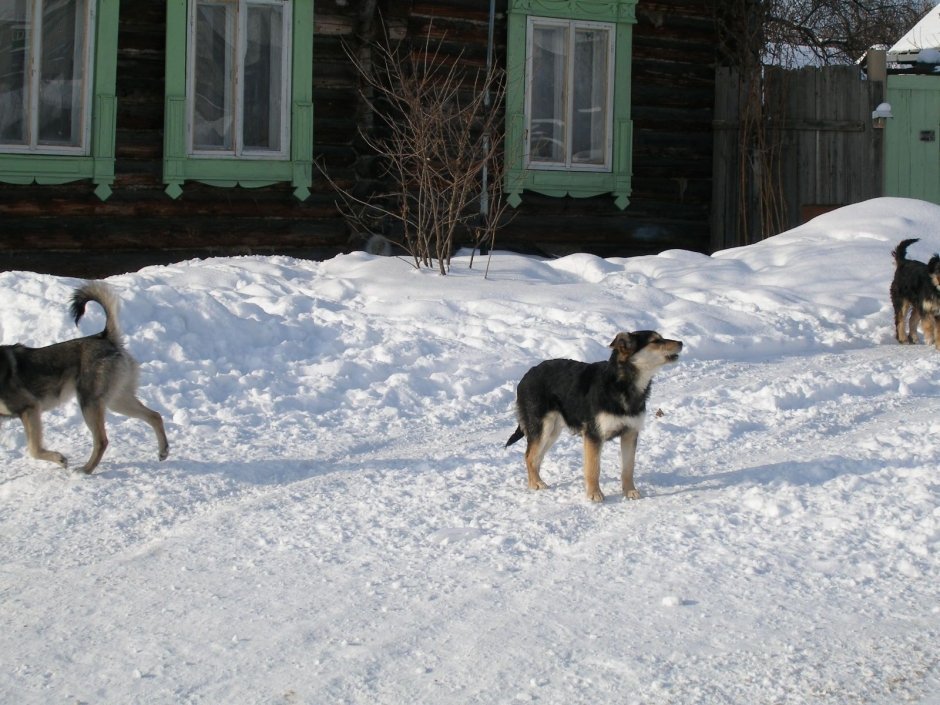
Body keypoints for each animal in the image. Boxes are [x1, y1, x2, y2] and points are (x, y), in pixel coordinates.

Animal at [0, 280, 169, 472]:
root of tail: (105, 337)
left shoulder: (30, 408)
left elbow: (34, 450)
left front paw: (60, 459)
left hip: (89, 402)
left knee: (102, 441)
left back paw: (85, 470)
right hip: (117, 400)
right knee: (155, 416)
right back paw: (163, 451)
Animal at [506, 330, 684, 500]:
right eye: (656, 341)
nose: (681, 342)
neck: (621, 383)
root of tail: (526, 376)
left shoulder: (630, 433)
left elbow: (628, 468)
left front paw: (629, 491)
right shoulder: (594, 435)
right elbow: (593, 469)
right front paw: (594, 494)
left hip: (552, 431)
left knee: (536, 458)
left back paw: (537, 480)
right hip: (543, 427)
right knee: (529, 456)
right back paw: (535, 484)